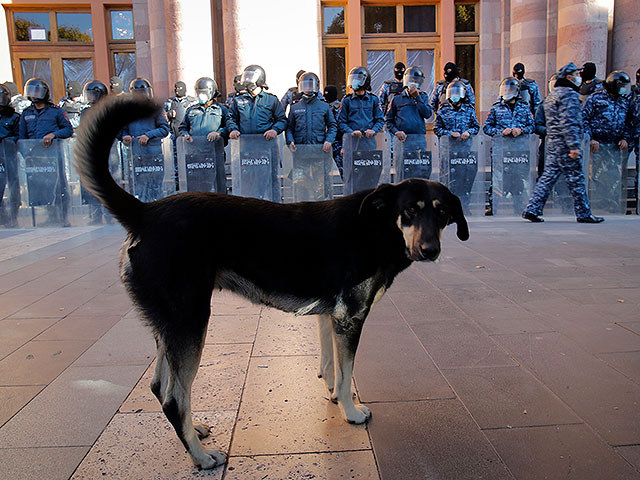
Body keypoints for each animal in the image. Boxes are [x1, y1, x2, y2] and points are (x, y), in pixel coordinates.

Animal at [74, 96, 470, 468]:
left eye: (442, 213)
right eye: (410, 210)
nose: (430, 250)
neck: (376, 226)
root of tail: (144, 211)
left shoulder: (330, 317)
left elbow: (331, 367)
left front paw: (332, 396)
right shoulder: (350, 318)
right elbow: (346, 375)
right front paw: (351, 412)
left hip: (169, 326)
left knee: (160, 386)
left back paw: (194, 430)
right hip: (190, 321)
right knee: (174, 397)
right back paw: (201, 457)